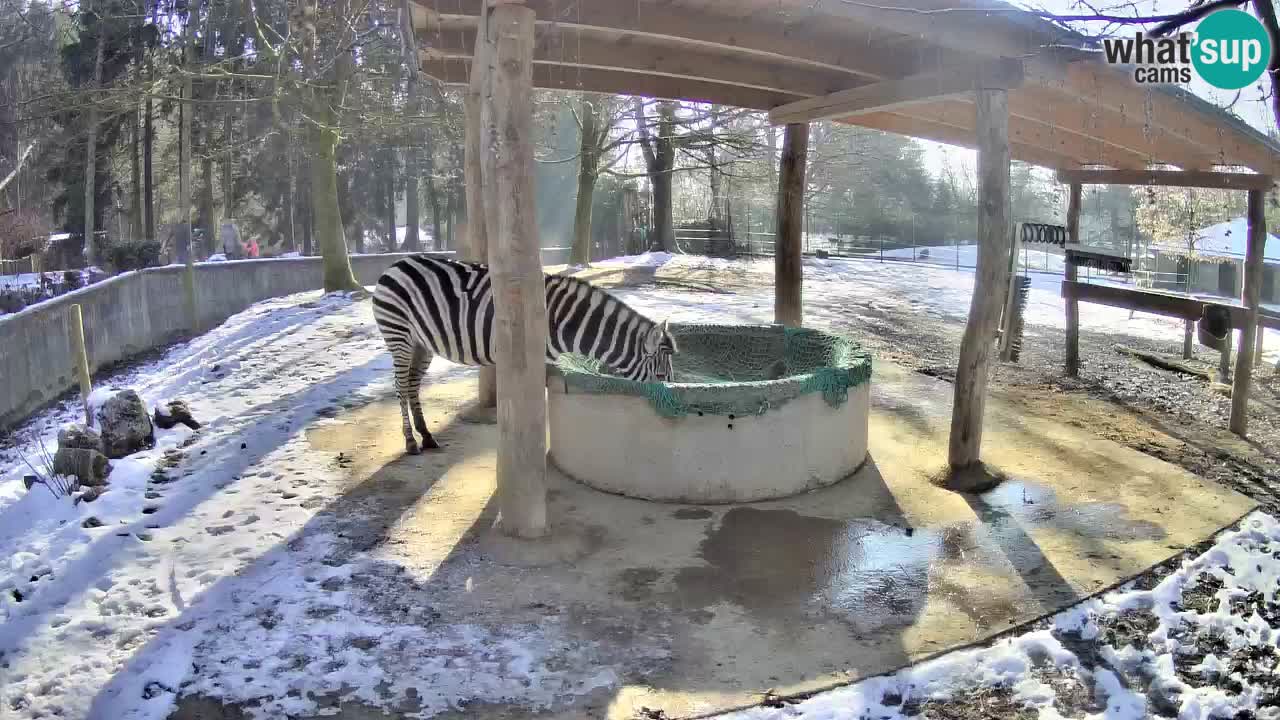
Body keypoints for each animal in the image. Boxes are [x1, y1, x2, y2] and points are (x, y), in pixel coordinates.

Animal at [373, 254, 680, 450]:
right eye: (660, 375)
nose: (674, 410)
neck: (562, 321)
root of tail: (396, 264)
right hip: (398, 334)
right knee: (401, 386)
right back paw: (410, 441)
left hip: (422, 343)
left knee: (412, 384)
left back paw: (426, 436)